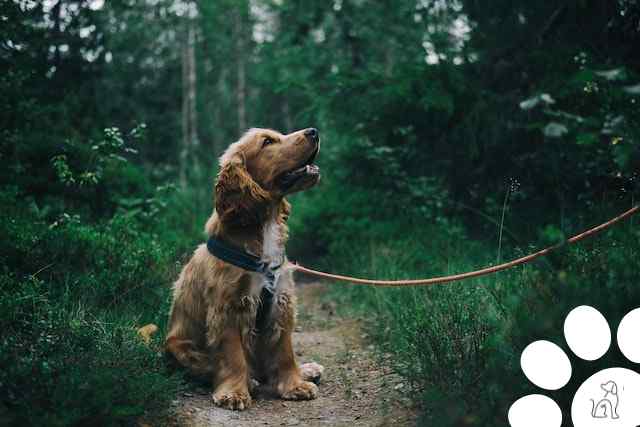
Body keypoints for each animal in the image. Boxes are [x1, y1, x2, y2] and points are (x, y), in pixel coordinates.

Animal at [165, 127, 322, 412]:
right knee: (210, 366)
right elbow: (233, 355)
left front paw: (295, 384)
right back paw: (250, 381)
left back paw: (307, 369)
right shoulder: (229, 307)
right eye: (268, 142)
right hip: (180, 348)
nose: (313, 131)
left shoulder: (281, 302)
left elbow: (285, 351)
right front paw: (234, 393)